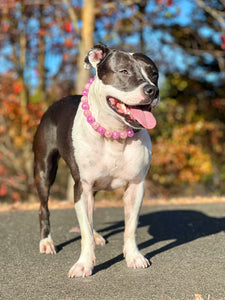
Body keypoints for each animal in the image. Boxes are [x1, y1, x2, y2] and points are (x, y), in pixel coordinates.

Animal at [33, 43, 160, 278]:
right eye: (124, 71)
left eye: (154, 73)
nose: (152, 90)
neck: (115, 134)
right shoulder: (82, 186)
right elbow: (84, 232)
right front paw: (84, 264)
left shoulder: (135, 186)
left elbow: (130, 228)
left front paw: (133, 256)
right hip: (44, 170)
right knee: (44, 207)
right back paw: (46, 242)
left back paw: (97, 235)